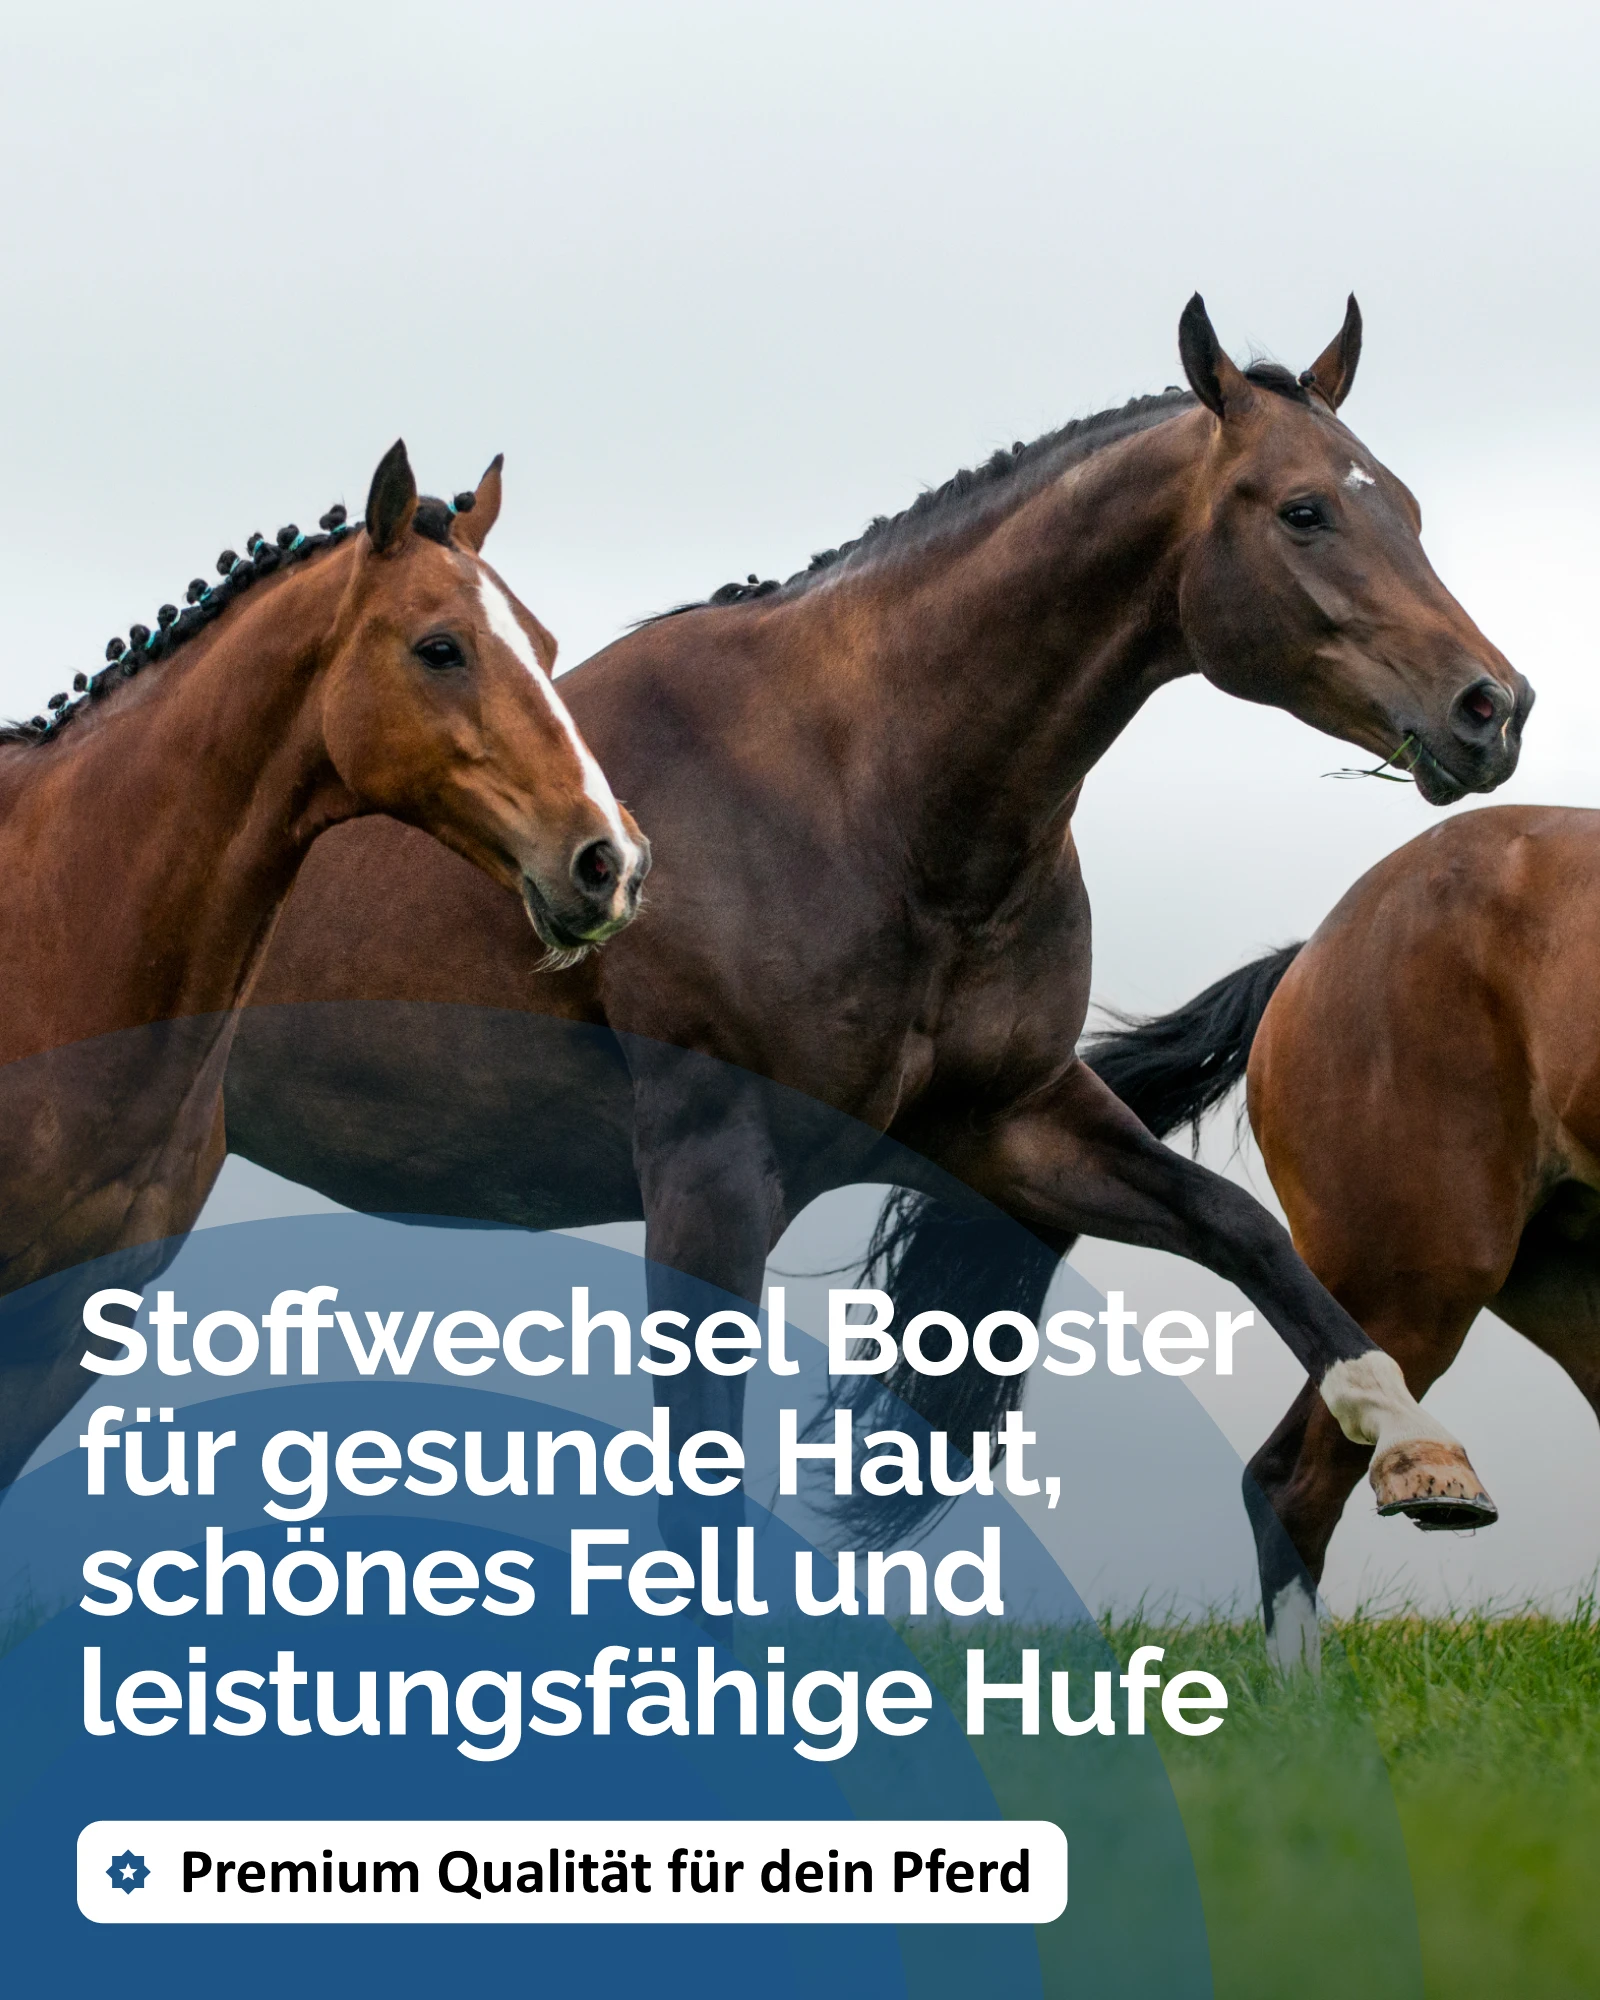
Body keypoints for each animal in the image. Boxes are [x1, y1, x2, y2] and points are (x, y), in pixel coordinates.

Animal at [219, 294, 1529, 1554]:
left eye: (1406, 506)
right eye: (1304, 510)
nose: (1492, 707)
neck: (860, 790)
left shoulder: (1013, 1122)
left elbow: (1244, 1229)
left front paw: (1415, 1444)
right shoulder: (711, 1170)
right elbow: (697, 1487)